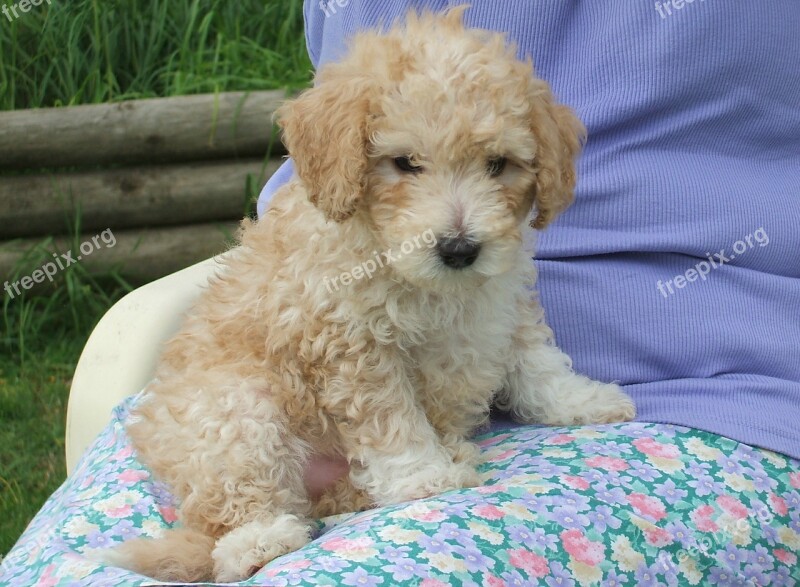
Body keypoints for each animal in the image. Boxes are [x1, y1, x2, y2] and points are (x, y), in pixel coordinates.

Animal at [106, 8, 636, 584]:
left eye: (498, 164)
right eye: (404, 163)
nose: (459, 248)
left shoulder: (503, 304)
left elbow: (538, 364)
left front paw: (583, 400)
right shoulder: (350, 345)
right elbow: (391, 421)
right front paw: (422, 475)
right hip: (231, 413)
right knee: (232, 509)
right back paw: (259, 541)